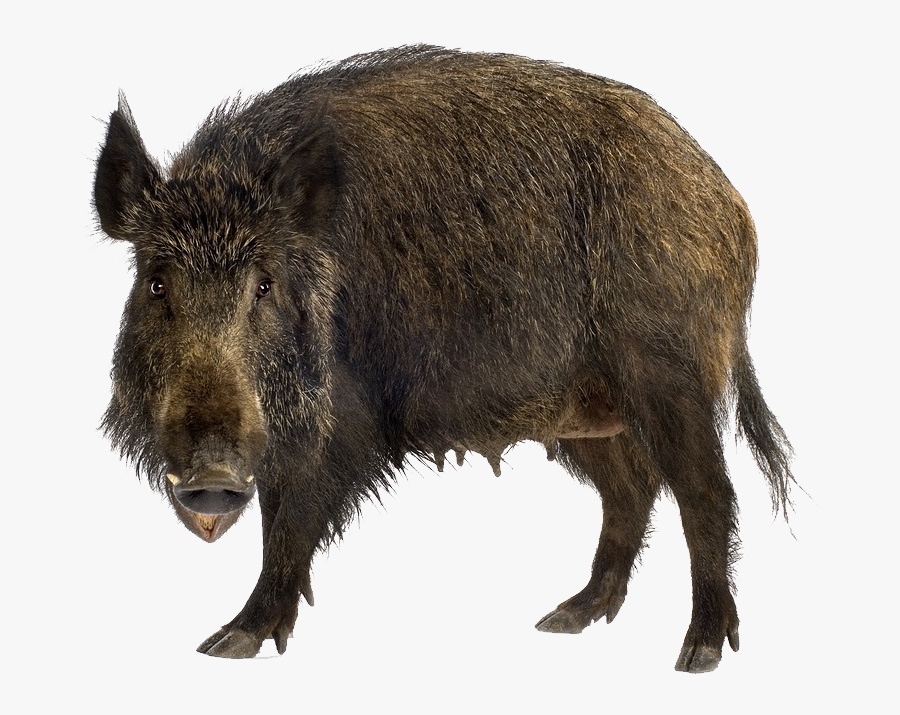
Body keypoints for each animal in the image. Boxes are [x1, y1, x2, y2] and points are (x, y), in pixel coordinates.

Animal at [94, 45, 795, 672]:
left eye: (264, 285)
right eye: (156, 283)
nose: (211, 477)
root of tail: (731, 207)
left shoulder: (339, 423)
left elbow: (288, 521)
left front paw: (227, 644)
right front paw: (218, 644)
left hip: (669, 374)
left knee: (706, 493)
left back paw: (697, 655)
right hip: (585, 410)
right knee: (631, 490)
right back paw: (562, 619)